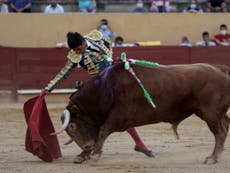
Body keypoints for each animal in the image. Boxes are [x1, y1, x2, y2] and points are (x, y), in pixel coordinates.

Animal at [52, 61, 230, 164]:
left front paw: (94, 154)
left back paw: (212, 158)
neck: (105, 88)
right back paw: (218, 155)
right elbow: (98, 134)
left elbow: (102, 131)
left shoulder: (119, 116)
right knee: (225, 125)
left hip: (210, 113)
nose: (86, 146)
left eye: (72, 126)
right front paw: (83, 155)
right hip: (207, 112)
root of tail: (220, 69)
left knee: (220, 132)